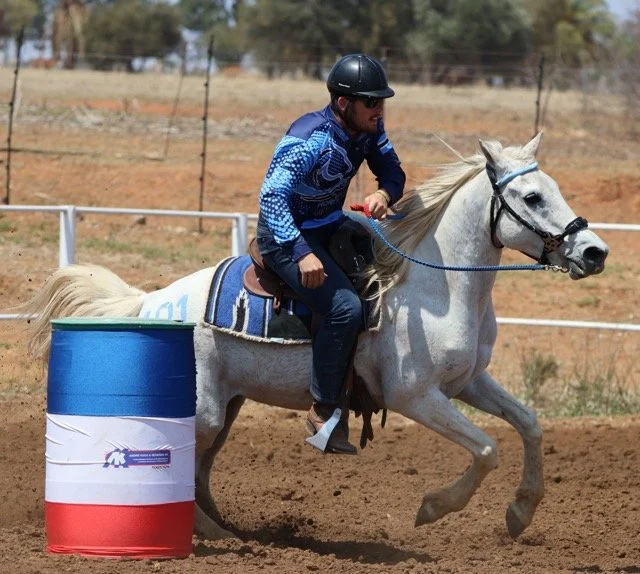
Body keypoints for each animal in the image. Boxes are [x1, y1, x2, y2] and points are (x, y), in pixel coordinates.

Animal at [23, 134, 609, 541]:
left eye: (556, 189)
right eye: (532, 197)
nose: (594, 252)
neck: (435, 287)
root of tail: (150, 304)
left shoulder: (468, 381)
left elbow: (529, 424)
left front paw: (520, 512)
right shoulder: (415, 396)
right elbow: (487, 448)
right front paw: (433, 509)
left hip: (228, 407)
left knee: (201, 469)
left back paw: (222, 527)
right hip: (207, 408)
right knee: (186, 461)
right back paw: (213, 534)